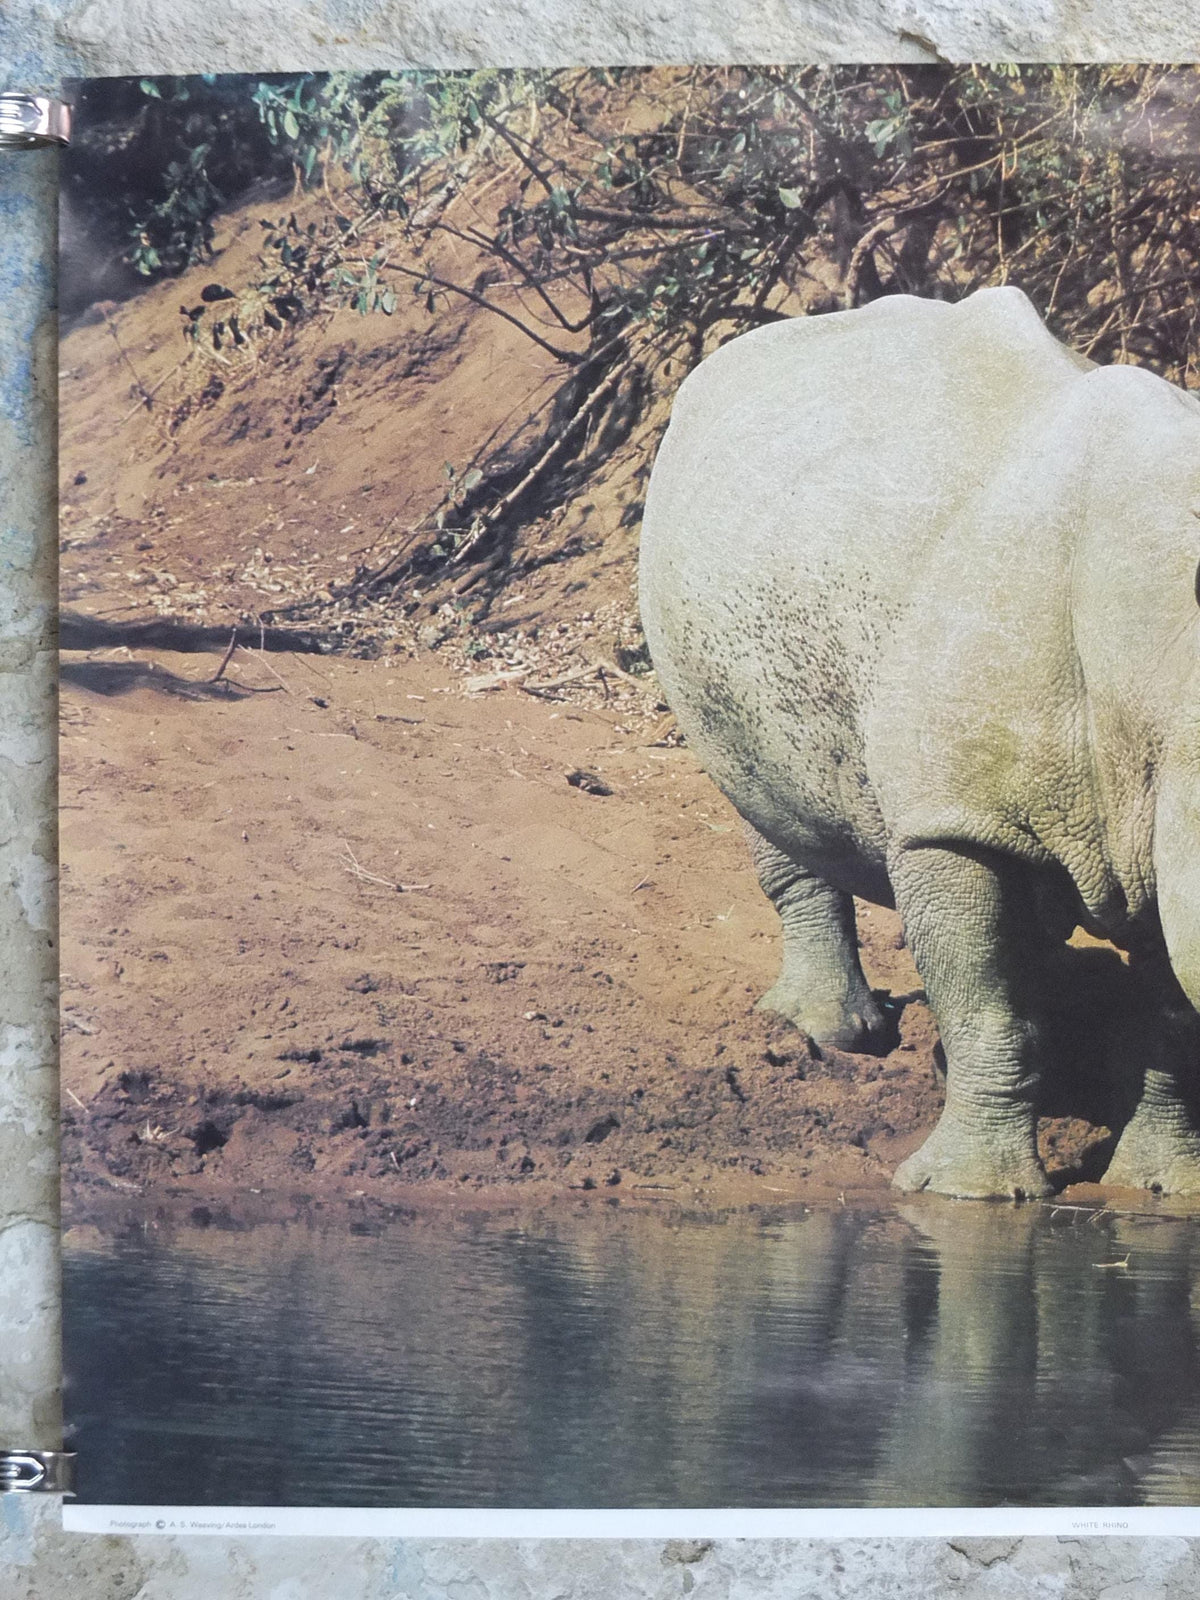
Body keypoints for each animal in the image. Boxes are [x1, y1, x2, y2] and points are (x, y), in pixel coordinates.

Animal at [639, 286, 1200, 1200]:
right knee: (764, 795)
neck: (1162, 669)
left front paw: (1160, 1188)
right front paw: (965, 1193)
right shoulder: (952, 821)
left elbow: (1172, 1018)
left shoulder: (1159, 802)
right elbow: (986, 1010)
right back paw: (829, 1035)